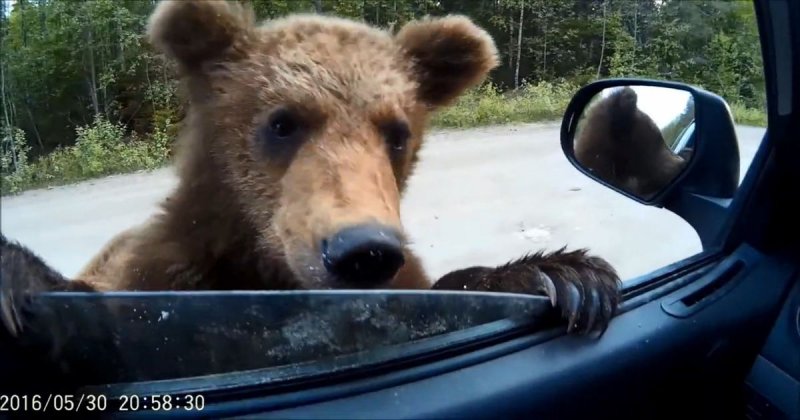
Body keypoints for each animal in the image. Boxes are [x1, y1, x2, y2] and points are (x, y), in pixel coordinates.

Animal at [0, 0, 620, 338]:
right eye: (282, 122)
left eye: (397, 132)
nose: (361, 251)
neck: (268, 274)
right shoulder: (165, 273)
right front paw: (15, 273)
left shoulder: (406, 281)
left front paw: (567, 276)